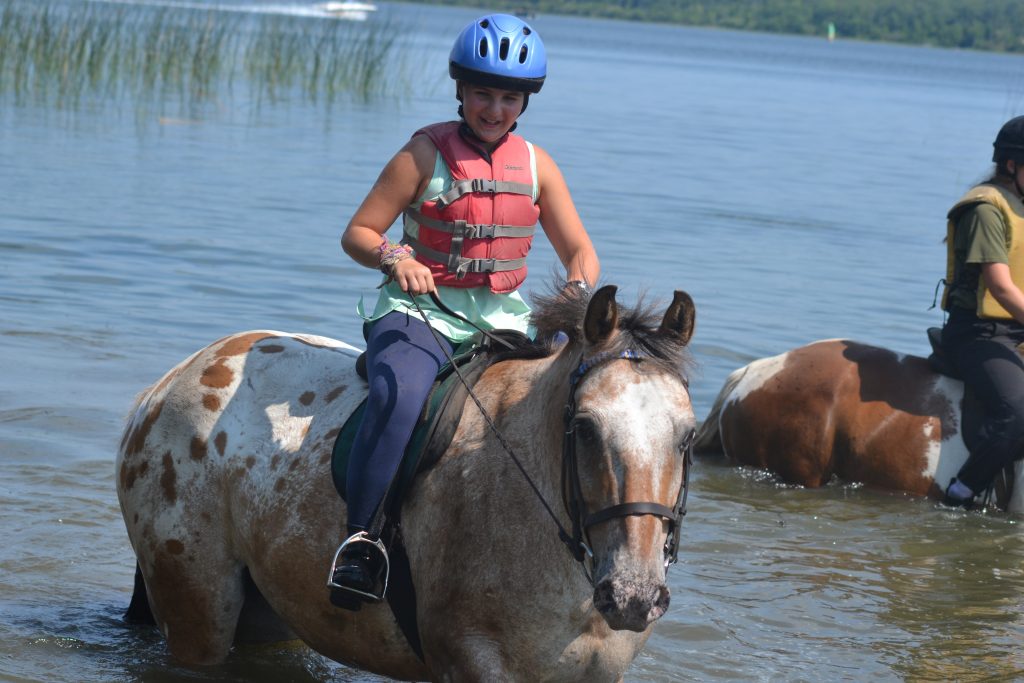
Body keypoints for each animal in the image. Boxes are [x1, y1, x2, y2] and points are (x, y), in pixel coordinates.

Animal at [116, 286, 700, 679]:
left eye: (688, 436)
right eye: (584, 427)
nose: (633, 595)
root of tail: (169, 383)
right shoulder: (473, 664)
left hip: (269, 613)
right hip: (196, 614)